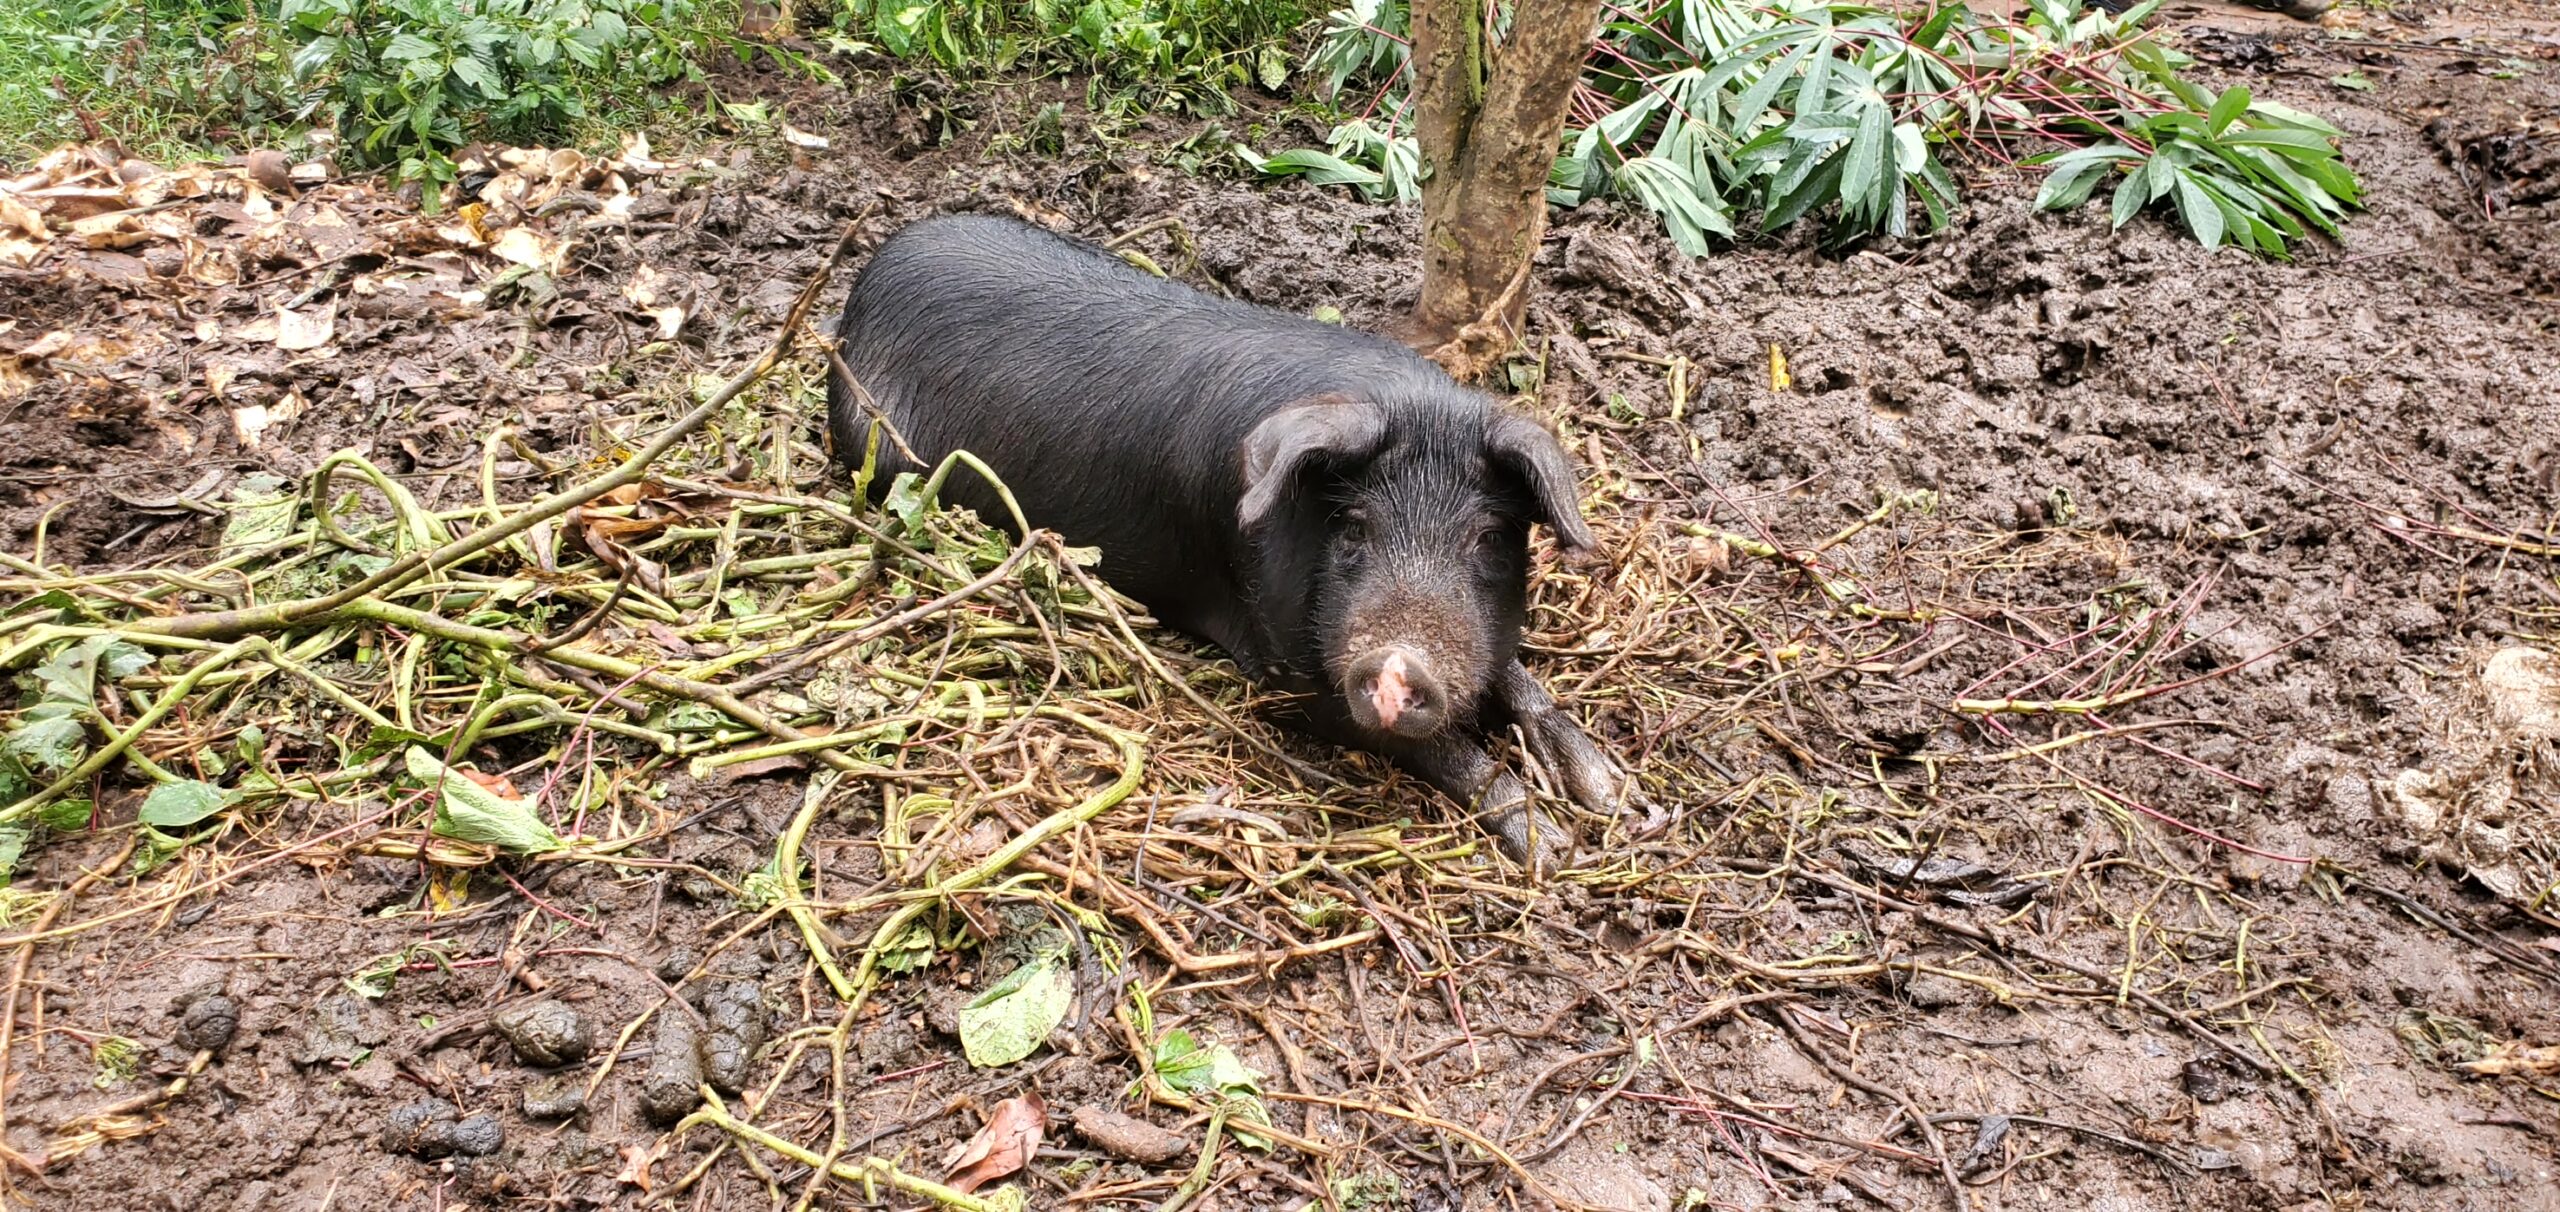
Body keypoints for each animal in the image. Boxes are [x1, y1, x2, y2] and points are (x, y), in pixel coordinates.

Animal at [829, 212, 1648, 866]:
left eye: (1486, 539)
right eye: (1354, 528)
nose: (1396, 667)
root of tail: (864, 285)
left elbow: (1520, 683)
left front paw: (1621, 803)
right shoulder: (1287, 676)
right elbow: (1445, 747)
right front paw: (1558, 850)